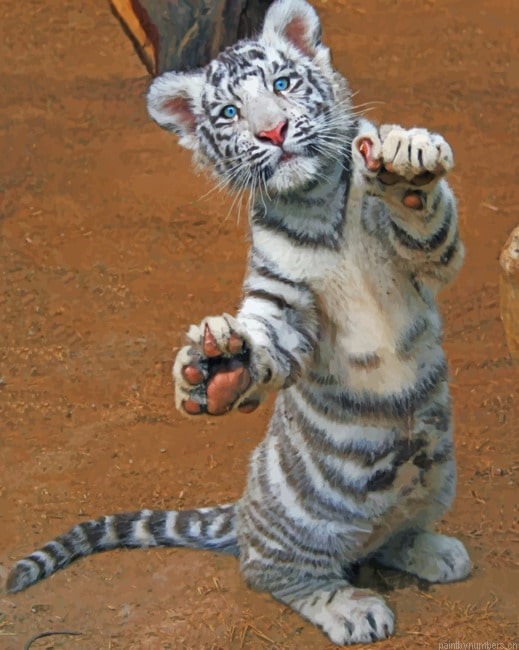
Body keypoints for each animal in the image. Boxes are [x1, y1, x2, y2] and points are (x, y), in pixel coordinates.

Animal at [6, 0, 470, 644]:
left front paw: (405, 165)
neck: (317, 204)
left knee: (391, 535)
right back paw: (353, 609)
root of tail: (242, 511)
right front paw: (216, 368)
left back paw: (436, 552)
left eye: (283, 84)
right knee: (273, 571)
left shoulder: (423, 262)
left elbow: (424, 222)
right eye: (229, 113)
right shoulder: (282, 303)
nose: (271, 132)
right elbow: (269, 339)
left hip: (438, 477)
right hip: (302, 528)